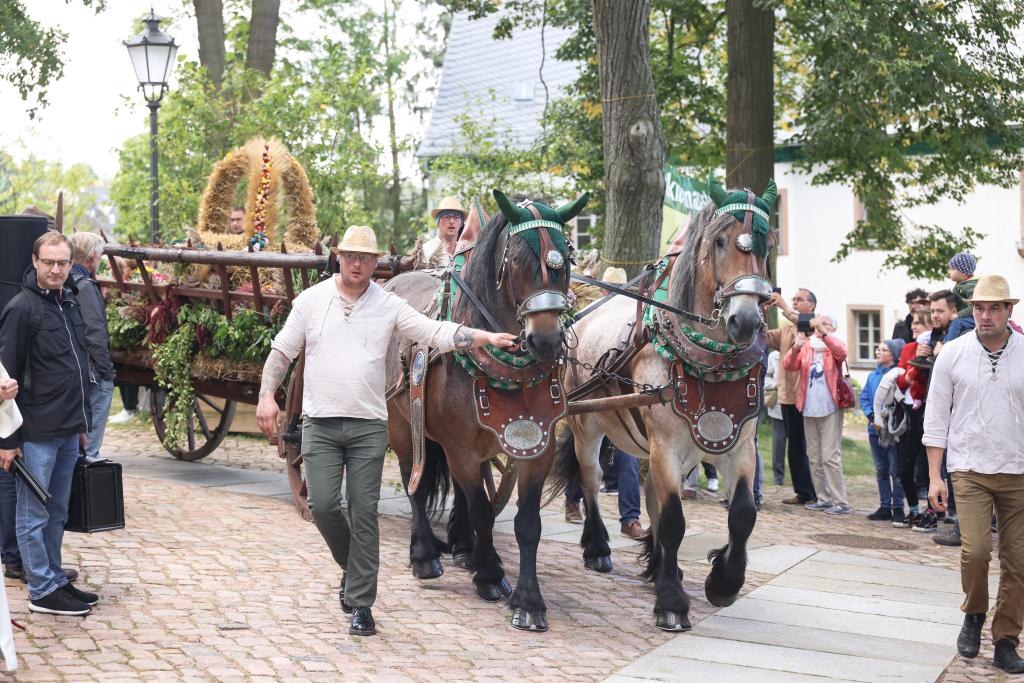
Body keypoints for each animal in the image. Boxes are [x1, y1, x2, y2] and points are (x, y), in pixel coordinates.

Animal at [382, 189, 589, 634]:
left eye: (566, 258)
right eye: (518, 260)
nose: (546, 341)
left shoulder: (538, 446)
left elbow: (526, 523)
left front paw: (528, 601)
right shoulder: (459, 446)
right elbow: (479, 507)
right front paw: (491, 575)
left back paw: (463, 547)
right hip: (399, 423)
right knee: (414, 481)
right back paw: (425, 555)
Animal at [561, 179, 774, 634]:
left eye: (767, 244)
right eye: (720, 241)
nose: (746, 320)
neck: (708, 363)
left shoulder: (738, 445)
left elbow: (743, 513)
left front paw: (723, 581)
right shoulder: (667, 445)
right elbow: (675, 520)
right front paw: (672, 603)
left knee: (651, 496)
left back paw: (660, 566)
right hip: (588, 426)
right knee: (590, 481)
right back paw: (598, 548)